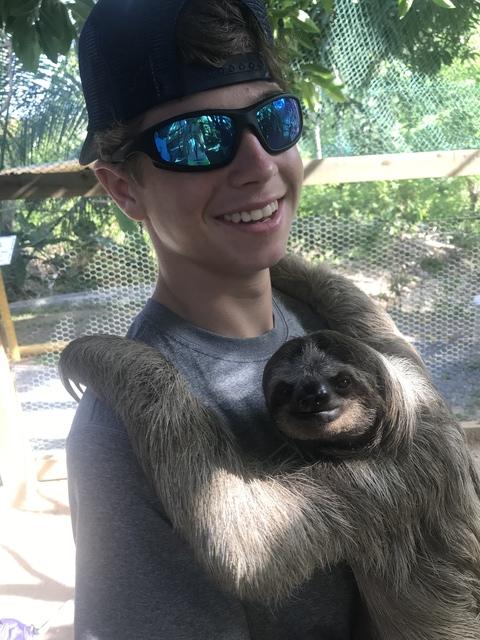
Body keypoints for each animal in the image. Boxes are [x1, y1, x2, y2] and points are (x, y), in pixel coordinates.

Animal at [59, 256, 480, 640]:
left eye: (342, 381)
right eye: (286, 389)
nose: (314, 396)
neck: (393, 428)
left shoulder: (380, 483)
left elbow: (246, 536)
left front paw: (96, 351)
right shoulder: (414, 384)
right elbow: (368, 319)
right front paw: (284, 263)